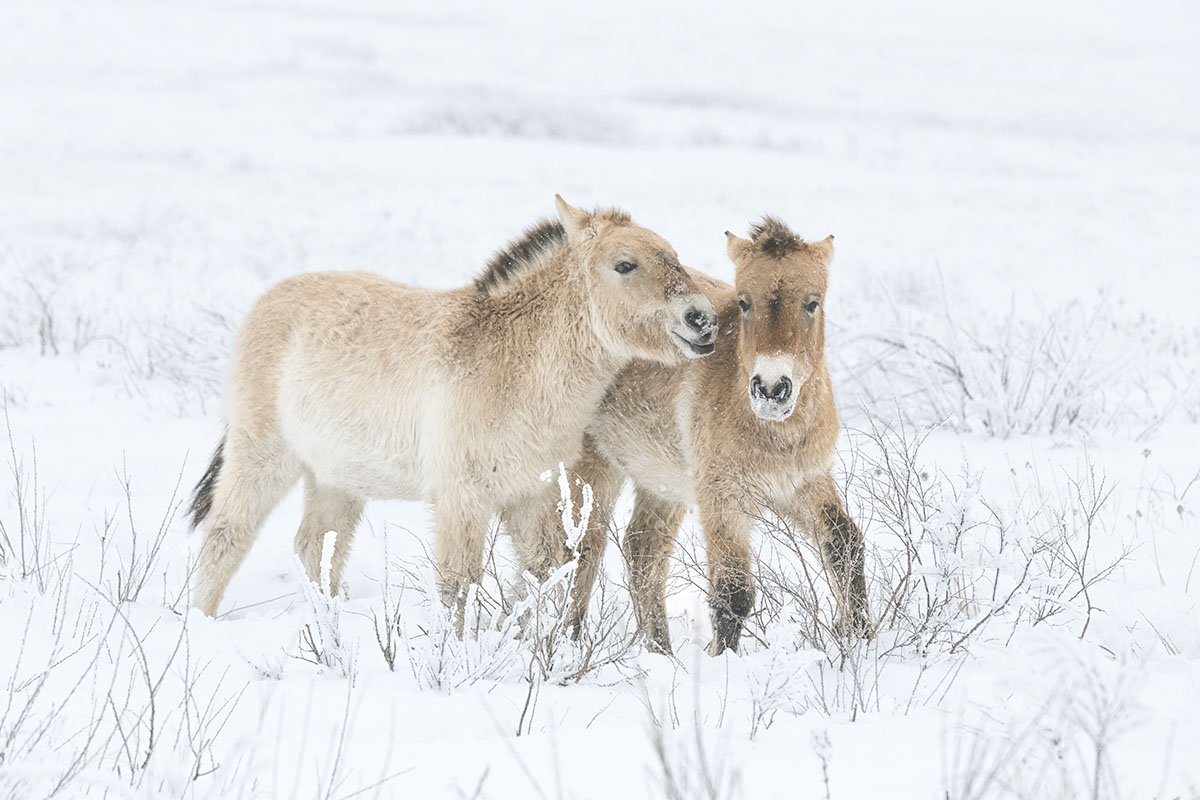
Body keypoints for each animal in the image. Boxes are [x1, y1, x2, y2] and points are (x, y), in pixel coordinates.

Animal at [186, 195, 710, 618]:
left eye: (674, 258)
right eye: (625, 265)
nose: (702, 320)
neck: (513, 362)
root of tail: (267, 301)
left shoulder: (531, 495)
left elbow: (544, 572)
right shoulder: (463, 499)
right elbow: (459, 587)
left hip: (336, 477)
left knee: (317, 548)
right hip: (262, 456)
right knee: (226, 537)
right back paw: (202, 621)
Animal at [540, 215, 868, 652]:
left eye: (812, 303)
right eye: (744, 302)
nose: (771, 389)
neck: (776, 433)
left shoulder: (805, 483)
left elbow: (845, 547)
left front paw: (861, 638)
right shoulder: (722, 499)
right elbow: (733, 591)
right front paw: (722, 658)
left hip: (663, 482)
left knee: (642, 551)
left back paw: (661, 652)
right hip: (595, 472)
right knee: (580, 553)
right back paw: (568, 642)